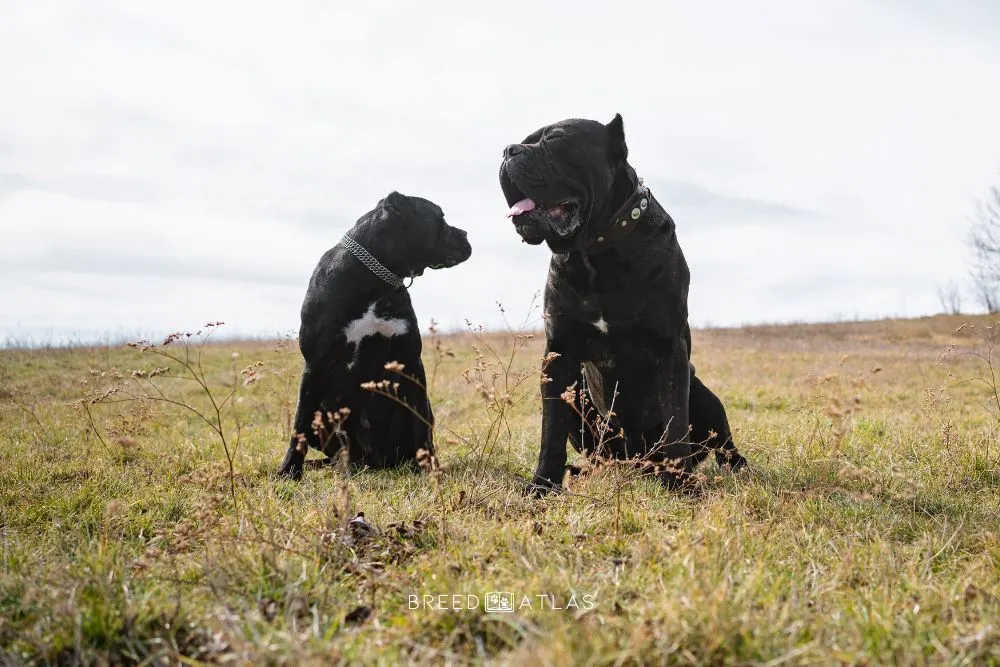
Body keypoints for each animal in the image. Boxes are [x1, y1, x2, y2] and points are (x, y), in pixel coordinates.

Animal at [278, 193, 472, 480]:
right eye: (441, 218)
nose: (465, 233)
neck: (375, 280)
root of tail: (372, 460)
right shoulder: (315, 366)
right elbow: (298, 425)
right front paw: (289, 470)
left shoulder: (410, 362)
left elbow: (421, 425)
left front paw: (431, 468)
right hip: (323, 413)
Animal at [500, 113, 744, 496]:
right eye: (524, 141)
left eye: (555, 140)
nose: (508, 151)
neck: (594, 253)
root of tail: (638, 462)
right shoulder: (558, 355)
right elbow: (550, 431)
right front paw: (542, 485)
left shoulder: (669, 349)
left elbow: (676, 423)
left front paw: (682, 483)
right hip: (581, 397)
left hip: (703, 393)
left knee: (722, 443)